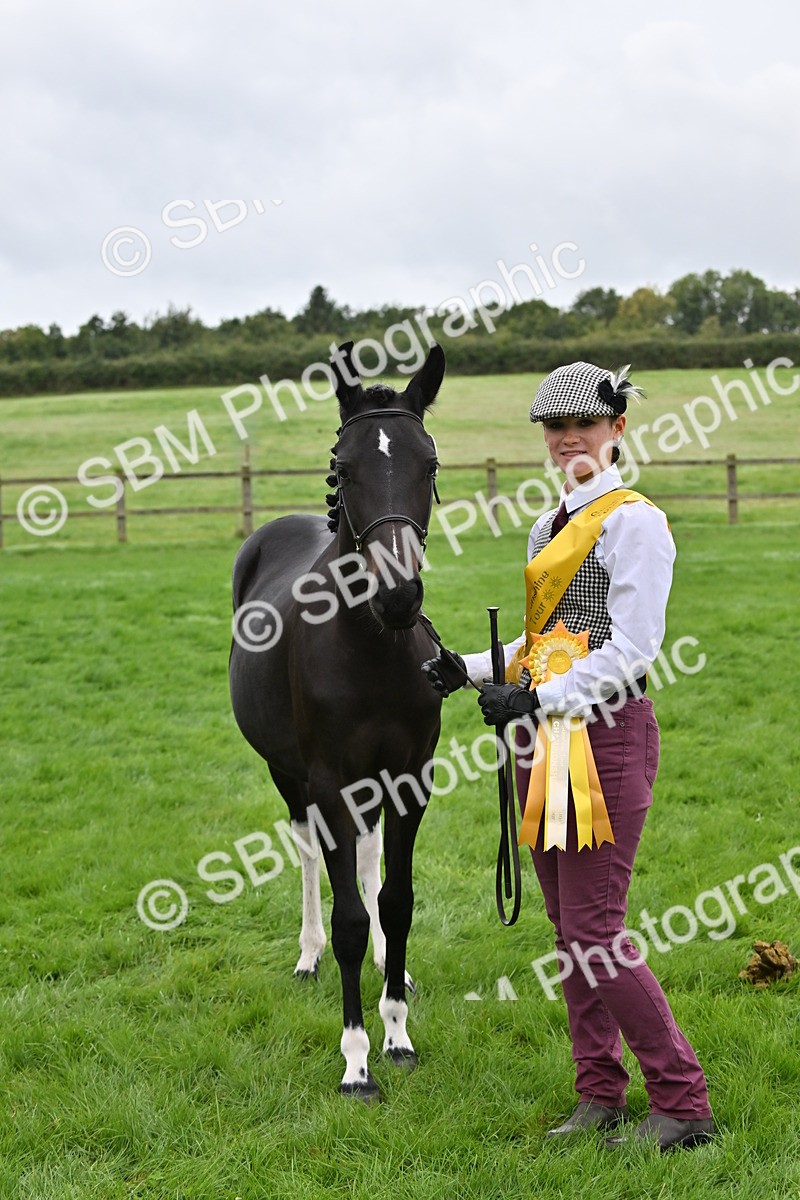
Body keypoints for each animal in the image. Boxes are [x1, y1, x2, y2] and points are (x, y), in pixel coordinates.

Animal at [229, 341, 446, 1099]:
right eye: (344, 468)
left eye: (428, 464)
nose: (400, 596)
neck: (372, 646)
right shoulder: (328, 782)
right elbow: (349, 913)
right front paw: (356, 1059)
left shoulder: (410, 780)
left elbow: (396, 900)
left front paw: (399, 1032)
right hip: (289, 775)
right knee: (305, 851)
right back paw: (308, 955)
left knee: (372, 860)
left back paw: (387, 964)